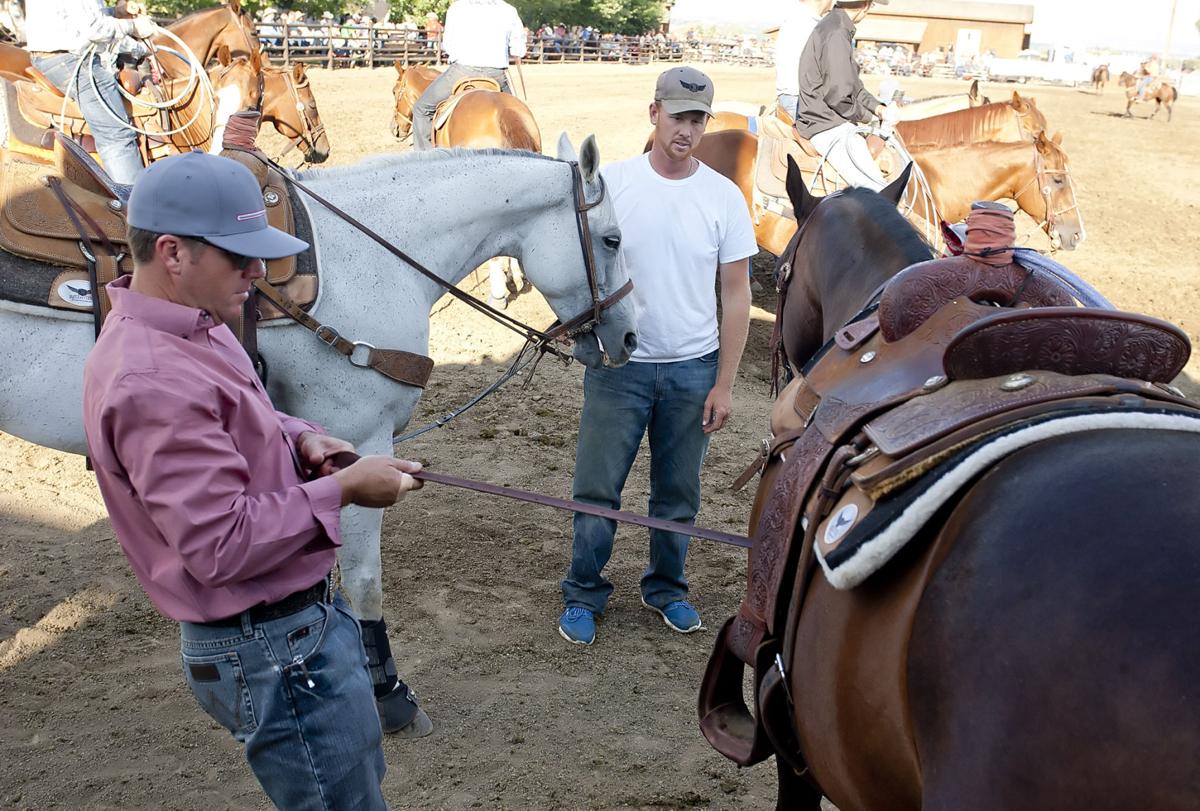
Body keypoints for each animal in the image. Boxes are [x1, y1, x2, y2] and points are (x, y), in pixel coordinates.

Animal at [0, 131, 638, 729]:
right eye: (612, 239)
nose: (630, 339)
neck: (368, 255)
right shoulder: (362, 439)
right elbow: (362, 579)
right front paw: (387, 692)